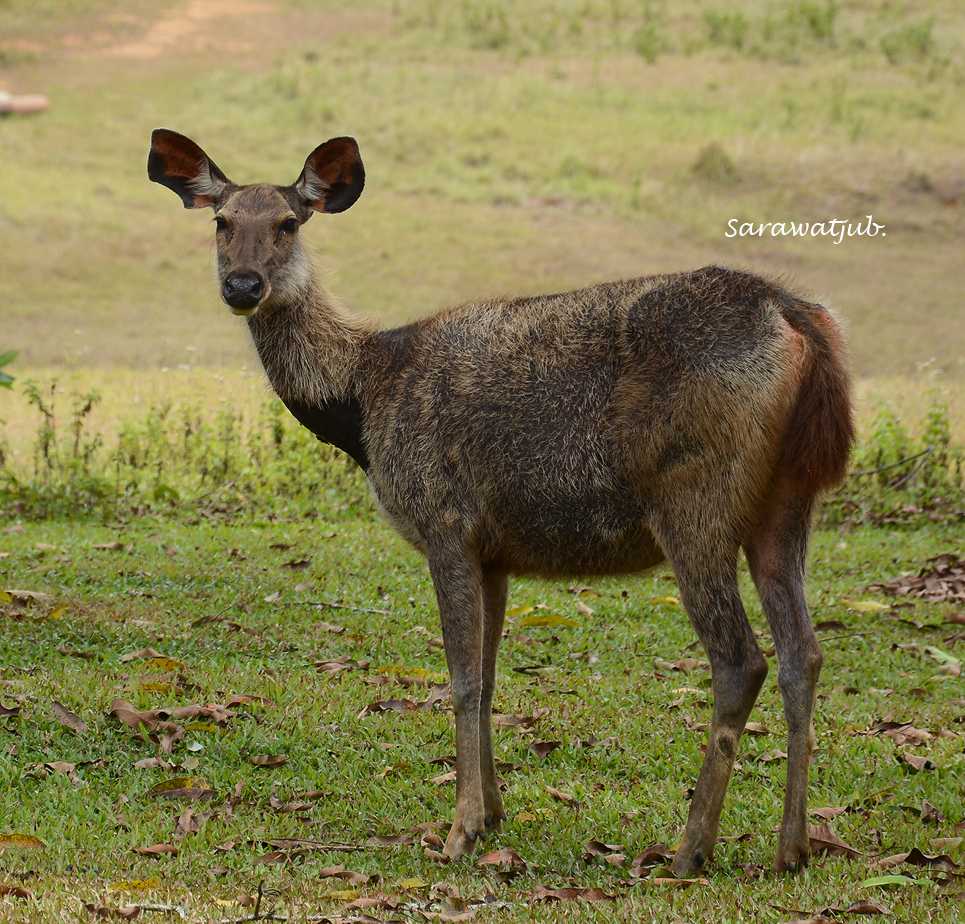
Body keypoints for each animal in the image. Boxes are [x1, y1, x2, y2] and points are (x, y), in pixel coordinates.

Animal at [147, 128, 856, 872]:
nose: (242, 285)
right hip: (789, 501)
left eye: (288, 222)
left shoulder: (443, 517)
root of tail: (798, 318)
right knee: (804, 654)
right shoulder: (494, 550)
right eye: (222, 221)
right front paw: (490, 813)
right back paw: (792, 846)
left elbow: (459, 678)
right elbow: (488, 678)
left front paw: (458, 830)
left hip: (695, 496)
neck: (362, 398)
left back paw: (688, 849)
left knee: (741, 659)